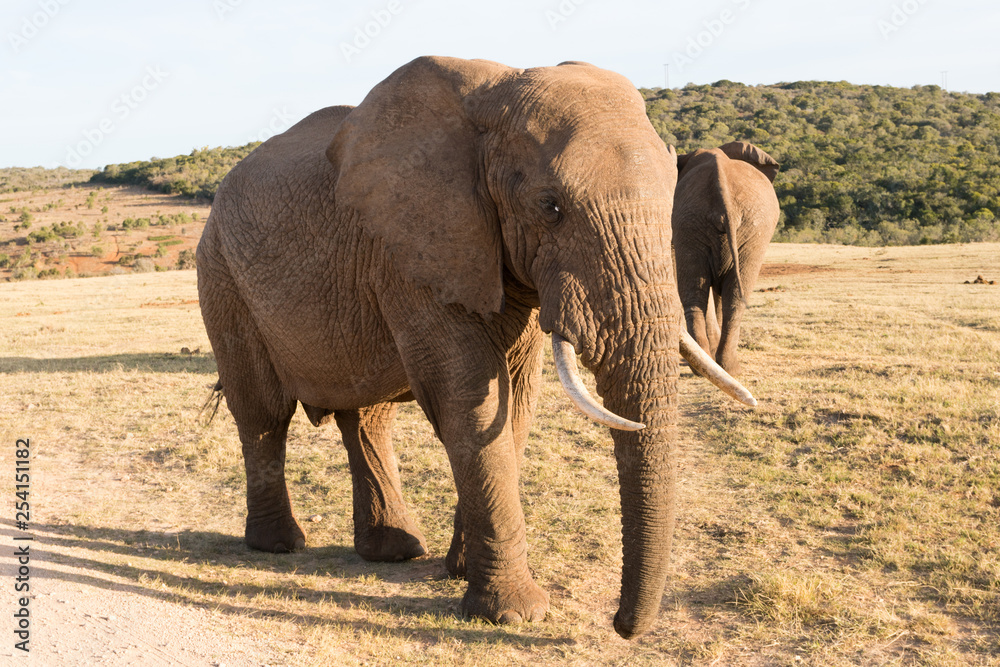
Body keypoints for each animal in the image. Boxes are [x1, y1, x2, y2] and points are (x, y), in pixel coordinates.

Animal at [196, 56, 754, 638]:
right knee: (263, 413)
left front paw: (461, 572)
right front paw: (512, 614)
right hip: (220, 274)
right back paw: (278, 545)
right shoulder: (416, 251)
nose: (620, 626)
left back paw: (394, 550)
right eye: (550, 207)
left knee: (366, 418)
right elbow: (469, 400)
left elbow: (514, 402)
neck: (496, 96)